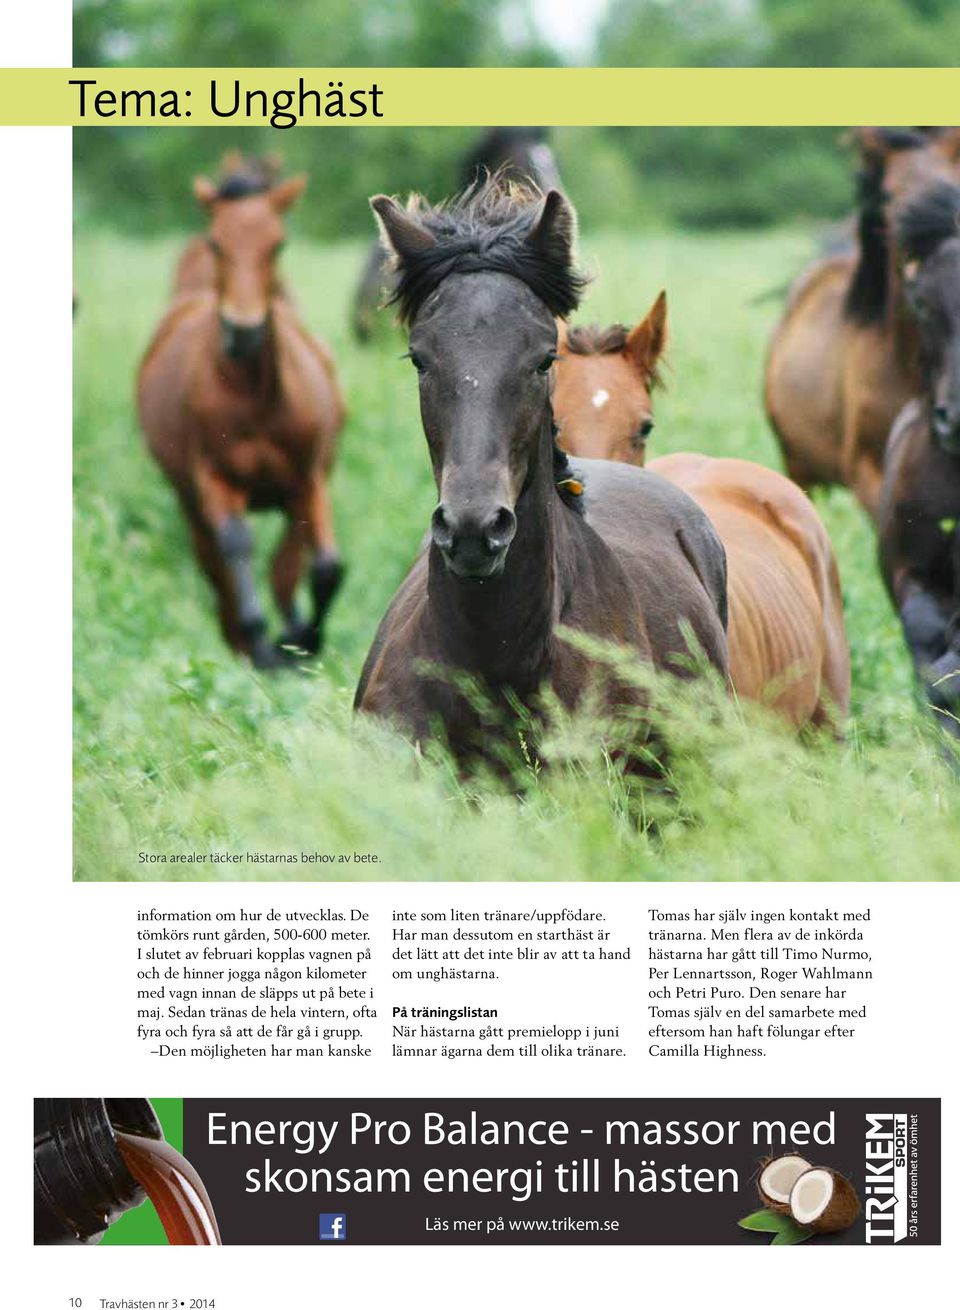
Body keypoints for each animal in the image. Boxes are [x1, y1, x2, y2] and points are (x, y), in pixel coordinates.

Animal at [134, 159, 345, 670]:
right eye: (216, 242)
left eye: (278, 243)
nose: (243, 332)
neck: (254, 395)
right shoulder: (214, 478)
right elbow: (236, 545)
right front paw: (262, 643)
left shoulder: (308, 480)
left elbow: (325, 567)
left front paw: (303, 639)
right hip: (190, 502)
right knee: (218, 567)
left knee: (286, 564)